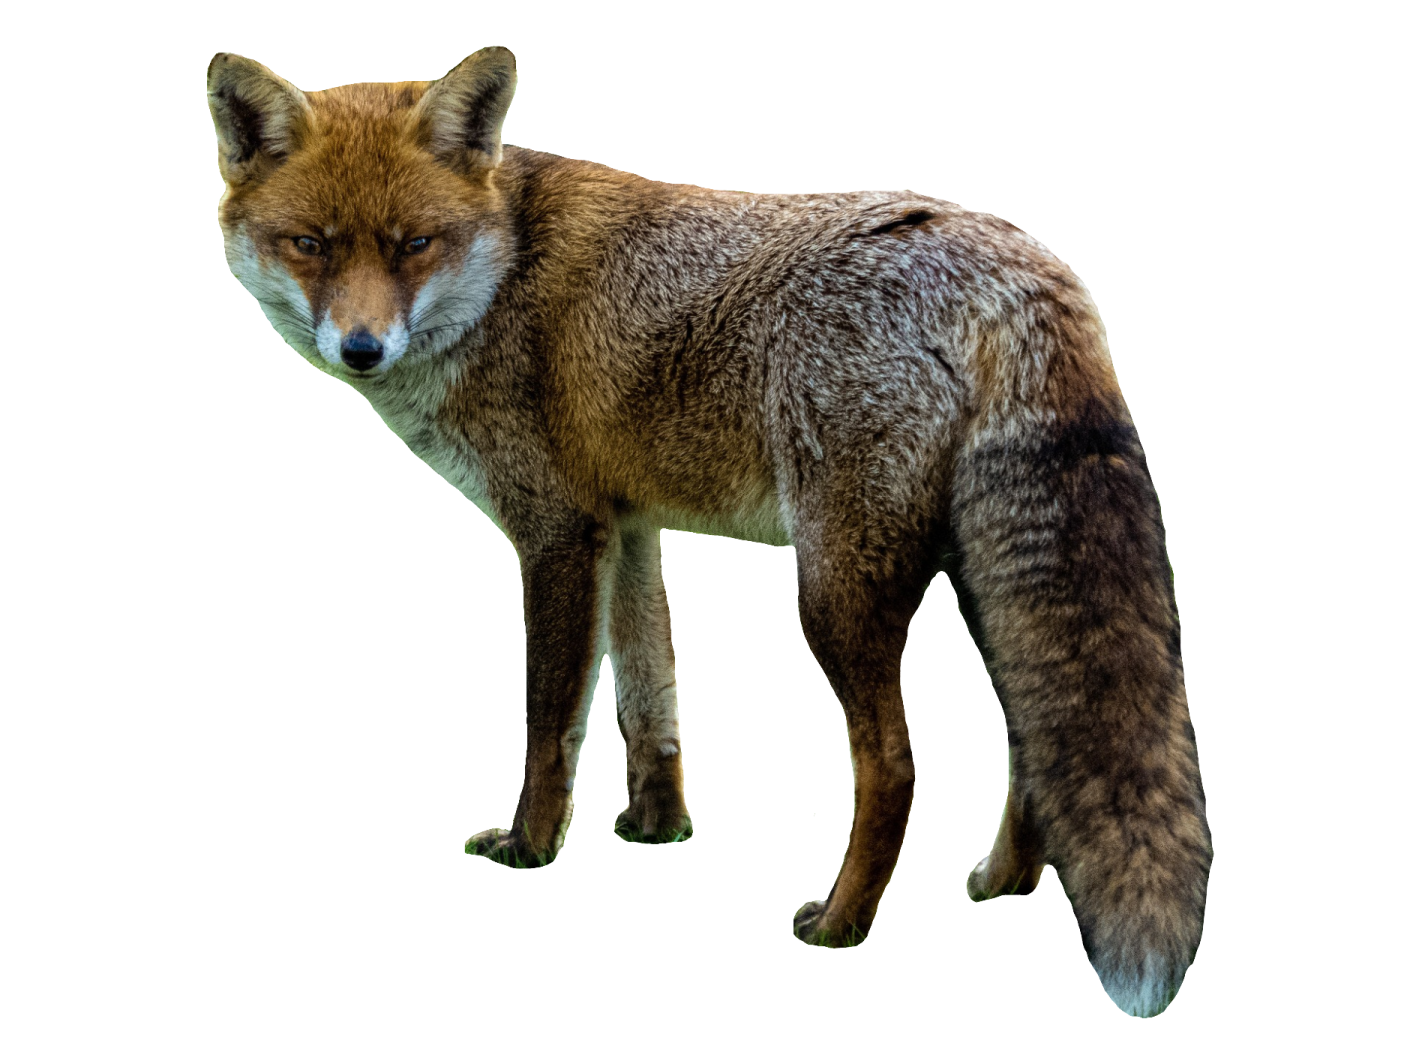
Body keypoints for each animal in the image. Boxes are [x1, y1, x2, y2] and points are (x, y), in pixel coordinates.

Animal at [208, 47, 1212, 1015]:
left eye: (415, 245)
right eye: (310, 246)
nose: (362, 348)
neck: (506, 269)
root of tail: (1024, 266)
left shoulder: (556, 533)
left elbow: (550, 724)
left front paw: (531, 848)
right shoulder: (628, 529)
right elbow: (651, 697)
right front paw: (658, 828)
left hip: (832, 592)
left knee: (894, 766)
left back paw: (841, 925)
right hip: (981, 582)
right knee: (1034, 743)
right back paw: (1004, 883)